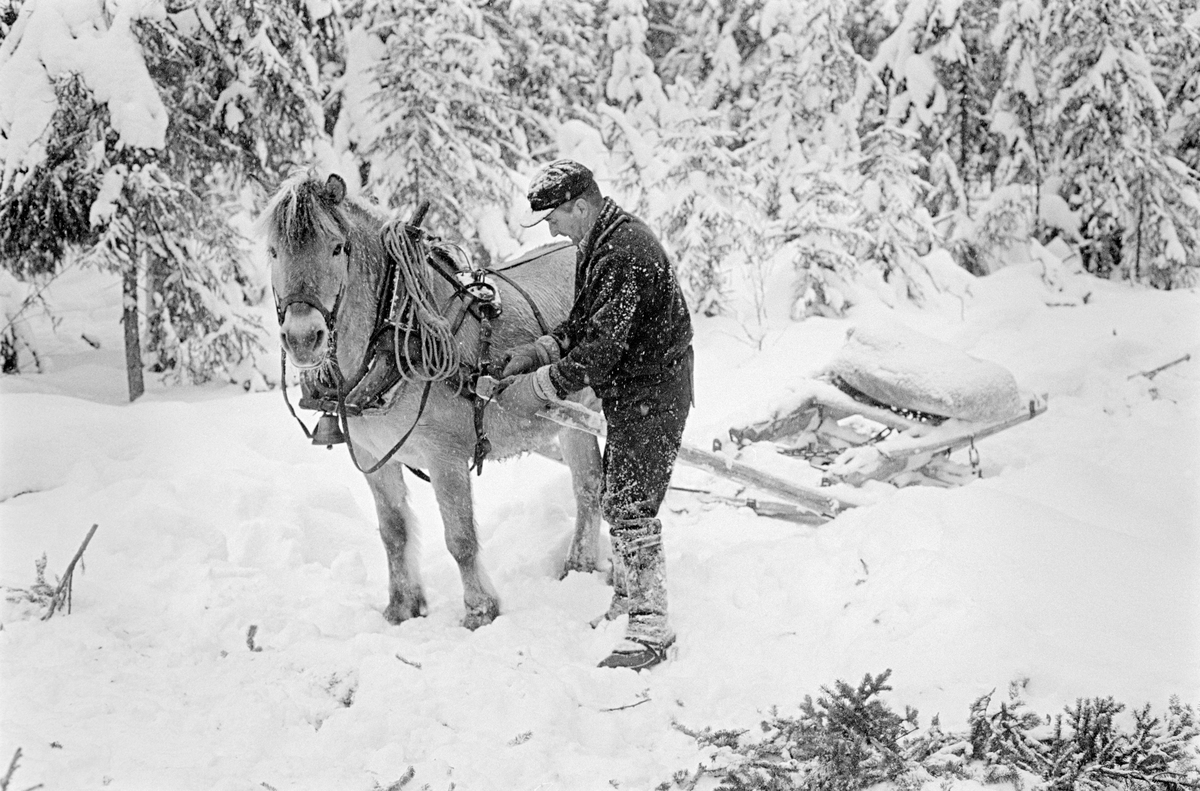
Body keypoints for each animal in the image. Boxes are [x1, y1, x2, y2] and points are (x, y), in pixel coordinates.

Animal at [259, 172, 604, 628]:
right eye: (273, 252)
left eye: (337, 247)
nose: (302, 338)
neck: (394, 336)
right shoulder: (373, 456)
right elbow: (393, 532)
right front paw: (401, 608)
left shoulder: (446, 456)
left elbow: (460, 538)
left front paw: (480, 611)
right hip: (566, 424)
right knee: (589, 484)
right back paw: (580, 566)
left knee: (595, 484)